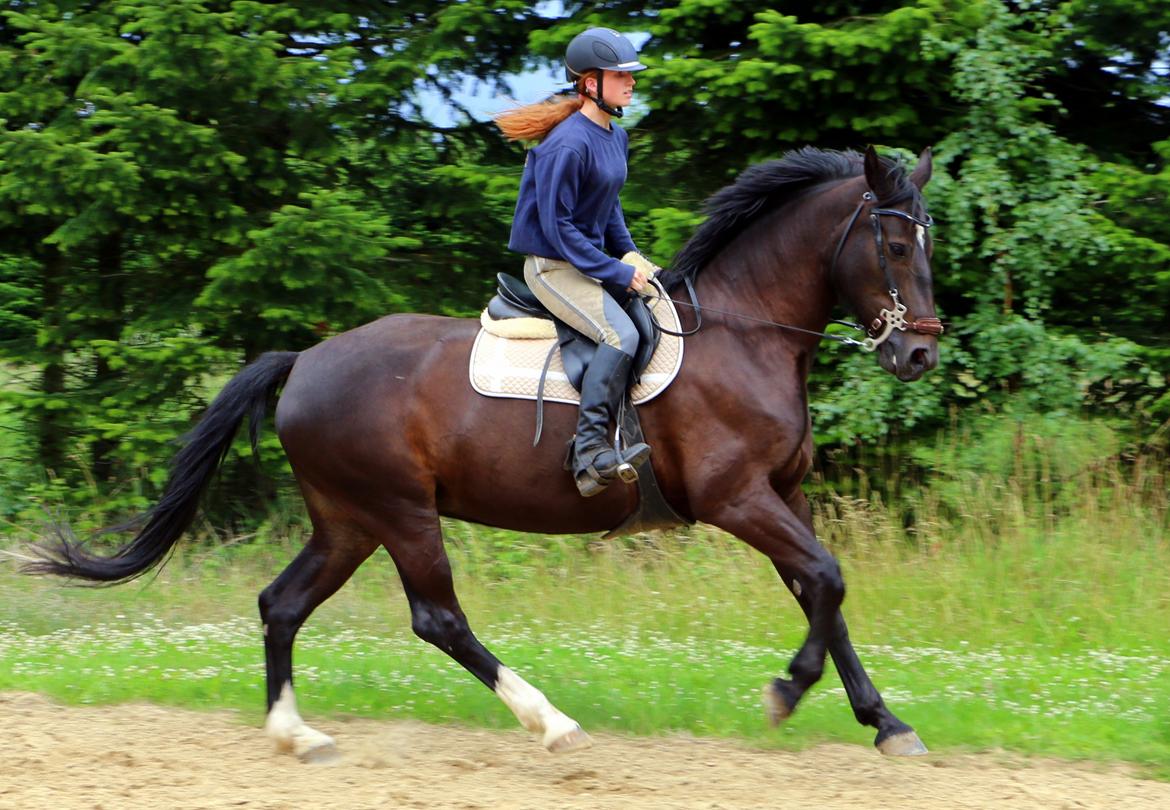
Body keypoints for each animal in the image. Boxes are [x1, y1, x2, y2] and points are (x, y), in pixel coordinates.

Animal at [27, 143, 940, 758]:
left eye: (926, 242)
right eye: (897, 248)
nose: (921, 354)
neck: (747, 333)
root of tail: (306, 359)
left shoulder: (783, 496)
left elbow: (823, 592)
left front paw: (886, 723)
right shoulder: (737, 498)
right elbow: (827, 578)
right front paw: (786, 692)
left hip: (347, 520)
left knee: (281, 605)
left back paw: (296, 734)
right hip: (400, 511)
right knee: (438, 618)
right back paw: (552, 722)